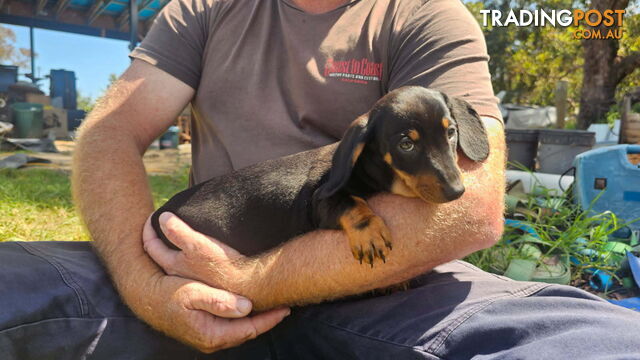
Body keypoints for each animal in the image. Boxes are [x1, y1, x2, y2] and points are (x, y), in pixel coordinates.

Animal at [151, 86, 490, 268]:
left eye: (451, 132)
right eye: (406, 144)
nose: (457, 191)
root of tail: (158, 213)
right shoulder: (320, 203)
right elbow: (350, 203)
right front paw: (370, 234)